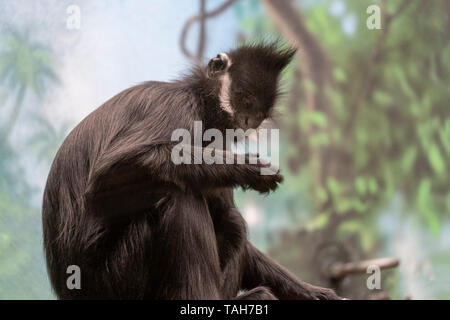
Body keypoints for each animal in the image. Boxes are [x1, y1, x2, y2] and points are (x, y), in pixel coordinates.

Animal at [42, 43, 340, 300]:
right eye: (244, 100)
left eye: (257, 114)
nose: (246, 122)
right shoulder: (180, 107)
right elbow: (111, 170)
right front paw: (248, 168)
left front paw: (311, 292)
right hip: (117, 275)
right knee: (179, 197)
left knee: (229, 219)